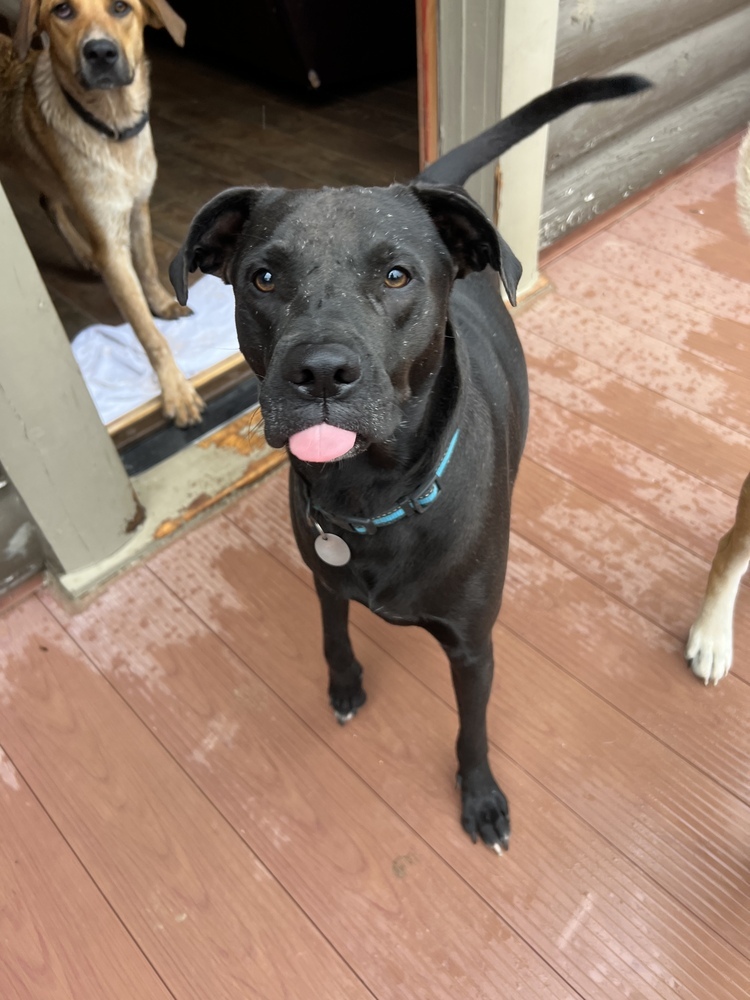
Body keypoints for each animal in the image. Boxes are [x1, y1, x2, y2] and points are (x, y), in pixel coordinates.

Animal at [0, 0, 206, 426]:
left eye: (121, 7)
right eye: (62, 10)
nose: (100, 52)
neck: (113, 124)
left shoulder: (139, 209)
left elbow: (148, 266)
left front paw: (161, 302)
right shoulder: (112, 250)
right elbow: (148, 333)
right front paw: (176, 391)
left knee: (48, 202)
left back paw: (81, 254)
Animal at [169, 76, 648, 852]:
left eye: (397, 275)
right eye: (263, 278)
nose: (320, 372)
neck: (373, 495)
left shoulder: (473, 648)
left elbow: (472, 730)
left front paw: (480, 797)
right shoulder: (324, 581)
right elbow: (334, 636)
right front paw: (343, 685)